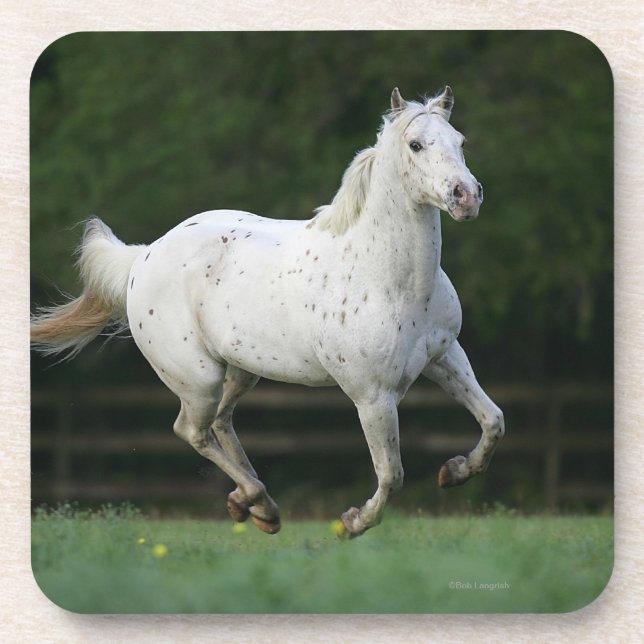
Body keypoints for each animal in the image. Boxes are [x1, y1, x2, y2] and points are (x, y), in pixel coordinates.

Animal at [31, 86, 504, 538]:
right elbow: (391, 474)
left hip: (241, 371)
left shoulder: (444, 356)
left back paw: (255, 506)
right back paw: (259, 501)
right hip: (199, 379)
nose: (466, 196)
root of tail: (144, 256)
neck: (390, 279)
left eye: (460, 141)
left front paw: (454, 472)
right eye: (415, 144)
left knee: (221, 423)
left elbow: (493, 420)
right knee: (192, 430)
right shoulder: (372, 396)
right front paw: (351, 524)